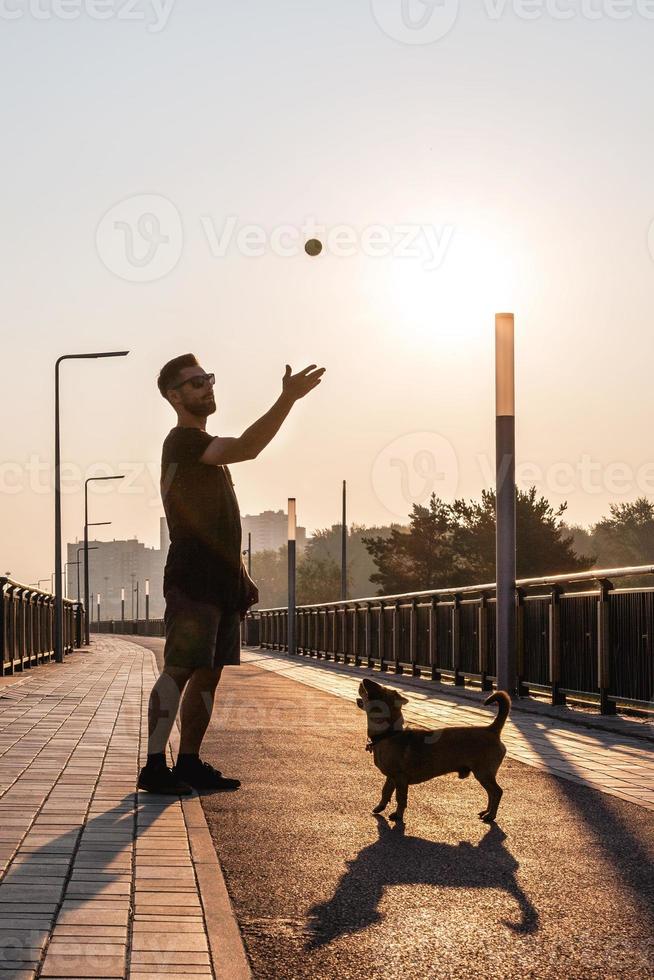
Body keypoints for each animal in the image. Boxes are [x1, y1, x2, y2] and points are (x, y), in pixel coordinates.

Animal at [358, 676, 512, 824]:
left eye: (377, 690)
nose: (364, 680)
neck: (388, 734)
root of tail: (491, 729)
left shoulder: (401, 779)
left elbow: (400, 799)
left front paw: (398, 815)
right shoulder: (391, 777)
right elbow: (385, 792)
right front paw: (380, 806)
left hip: (483, 773)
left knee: (497, 792)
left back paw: (491, 815)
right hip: (484, 775)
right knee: (491, 793)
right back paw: (487, 811)